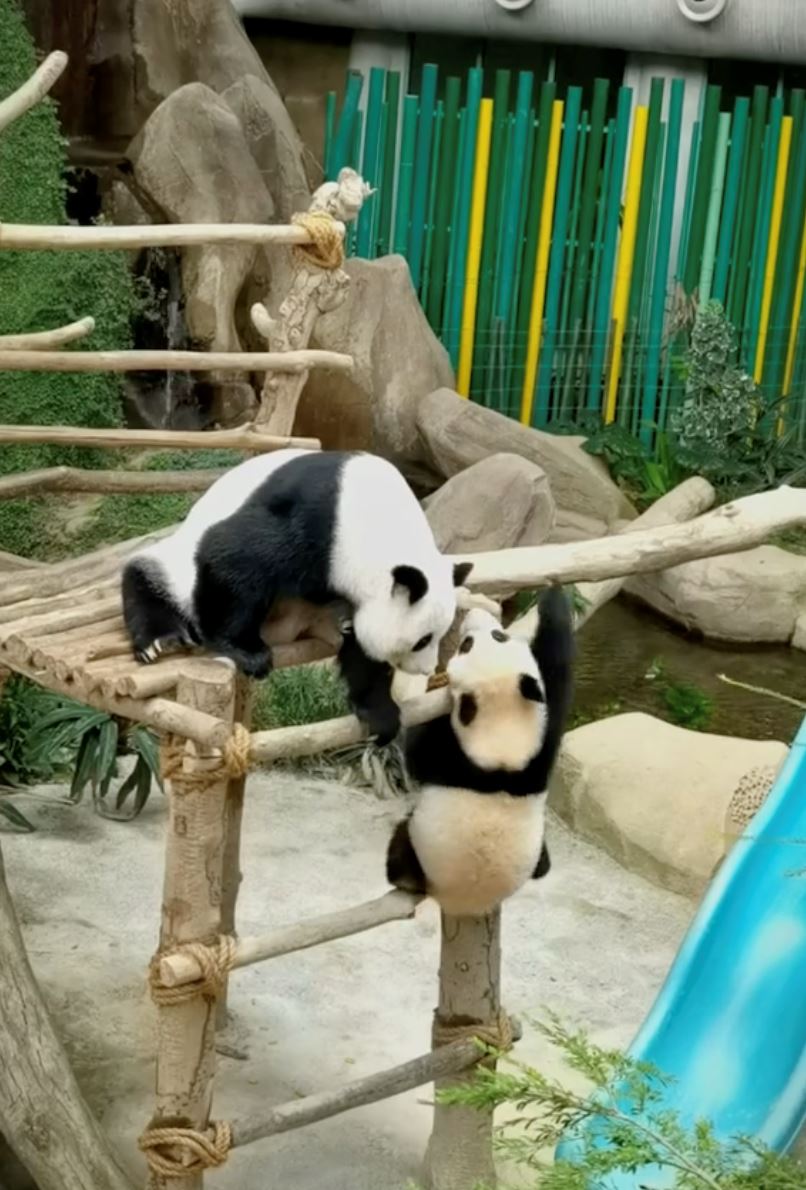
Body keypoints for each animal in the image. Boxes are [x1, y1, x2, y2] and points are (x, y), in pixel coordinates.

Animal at [121, 448, 472, 743]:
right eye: (422, 640)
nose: (427, 670)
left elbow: (362, 648)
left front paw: (380, 715)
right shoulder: (317, 521)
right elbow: (233, 558)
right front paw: (248, 652)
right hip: (183, 559)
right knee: (160, 574)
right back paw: (160, 638)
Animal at [386, 587, 574, 916]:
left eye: (466, 645)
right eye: (501, 635)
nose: (474, 617)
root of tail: (463, 904)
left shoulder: (451, 755)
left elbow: (416, 751)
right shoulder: (540, 750)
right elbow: (556, 670)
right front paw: (555, 597)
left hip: (420, 853)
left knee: (399, 855)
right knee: (543, 866)